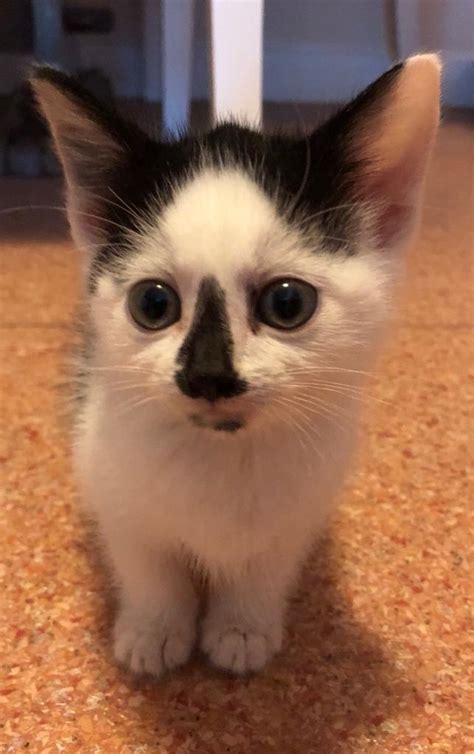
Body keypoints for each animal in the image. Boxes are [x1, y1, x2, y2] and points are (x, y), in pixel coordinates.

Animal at [31, 54, 440, 676]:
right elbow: (147, 563)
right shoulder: (111, 482)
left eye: (287, 304)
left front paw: (242, 628)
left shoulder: (301, 510)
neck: (223, 452)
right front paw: (154, 629)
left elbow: (264, 567)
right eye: (152, 304)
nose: (207, 374)